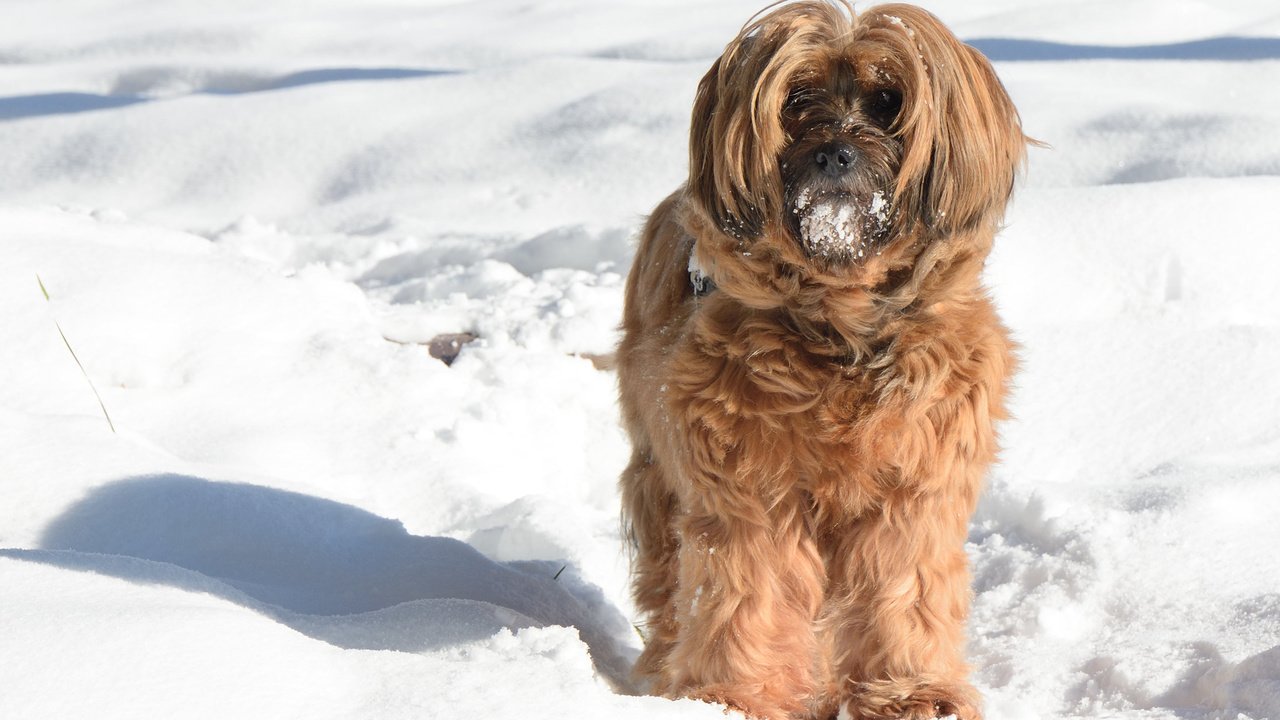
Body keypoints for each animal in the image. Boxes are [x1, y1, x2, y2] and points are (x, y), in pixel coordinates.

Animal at [614, 2, 1024, 712]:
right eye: (798, 99)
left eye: (888, 101)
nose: (834, 153)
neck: (840, 328)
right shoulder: (747, 489)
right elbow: (748, 591)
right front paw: (733, 698)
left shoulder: (912, 492)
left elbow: (903, 589)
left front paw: (911, 692)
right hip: (658, 475)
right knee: (669, 581)